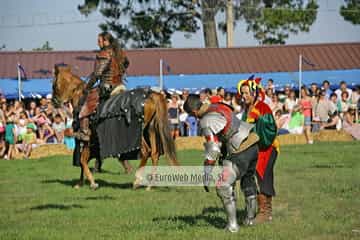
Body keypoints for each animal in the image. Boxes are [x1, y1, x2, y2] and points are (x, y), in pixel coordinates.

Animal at [51, 64, 179, 190]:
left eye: (54, 85)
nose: (54, 101)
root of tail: (151, 95)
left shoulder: (86, 139)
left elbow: (82, 160)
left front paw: (92, 183)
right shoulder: (91, 141)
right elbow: (83, 159)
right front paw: (81, 183)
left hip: (139, 134)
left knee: (146, 151)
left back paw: (137, 181)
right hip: (150, 129)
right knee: (155, 154)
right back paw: (149, 185)